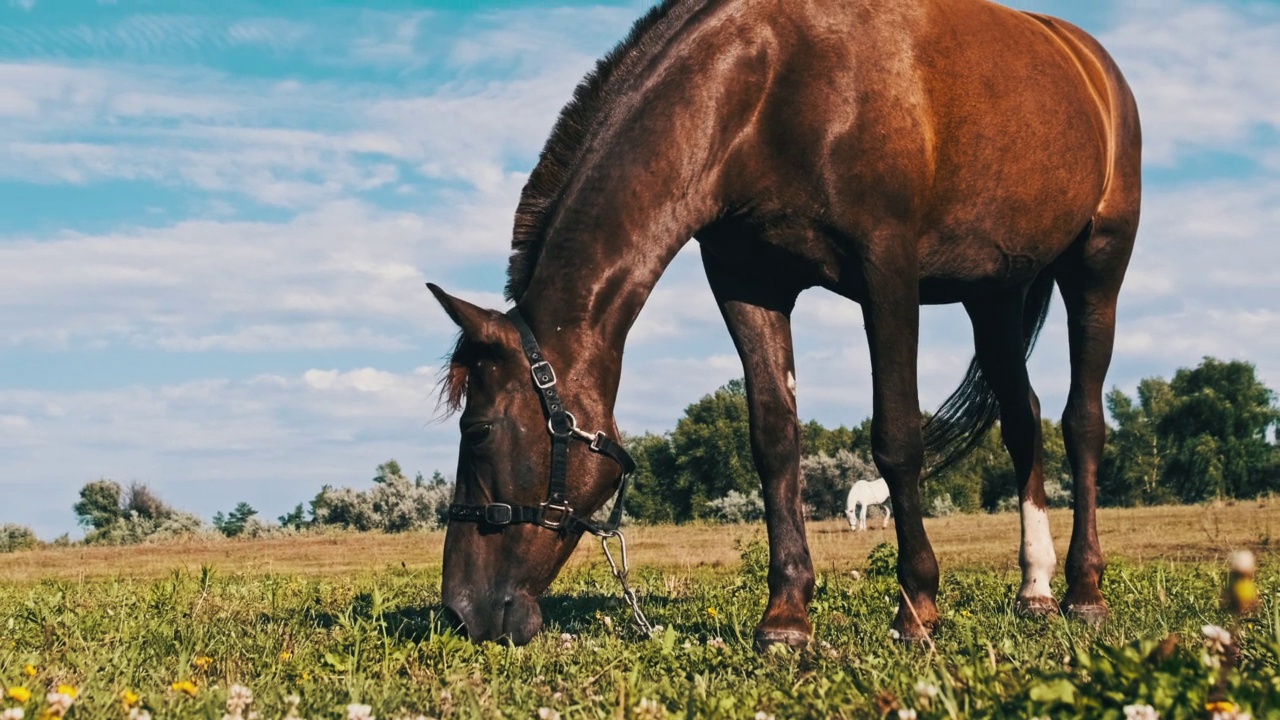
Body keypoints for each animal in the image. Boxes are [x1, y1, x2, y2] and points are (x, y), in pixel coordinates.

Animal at [427, 0, 1141, 645]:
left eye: (478, 430)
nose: (461, 611)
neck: (769, 83)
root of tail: (1093, 65)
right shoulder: (749, 285)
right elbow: (774, 440)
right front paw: (786, 616)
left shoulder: (887, 271)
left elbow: (897, 437)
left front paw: (917, 606)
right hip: (993, 293)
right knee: (1024, 422)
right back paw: (1035, 588)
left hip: (1096, 270)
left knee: (1082, 423)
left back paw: (1084, 592)